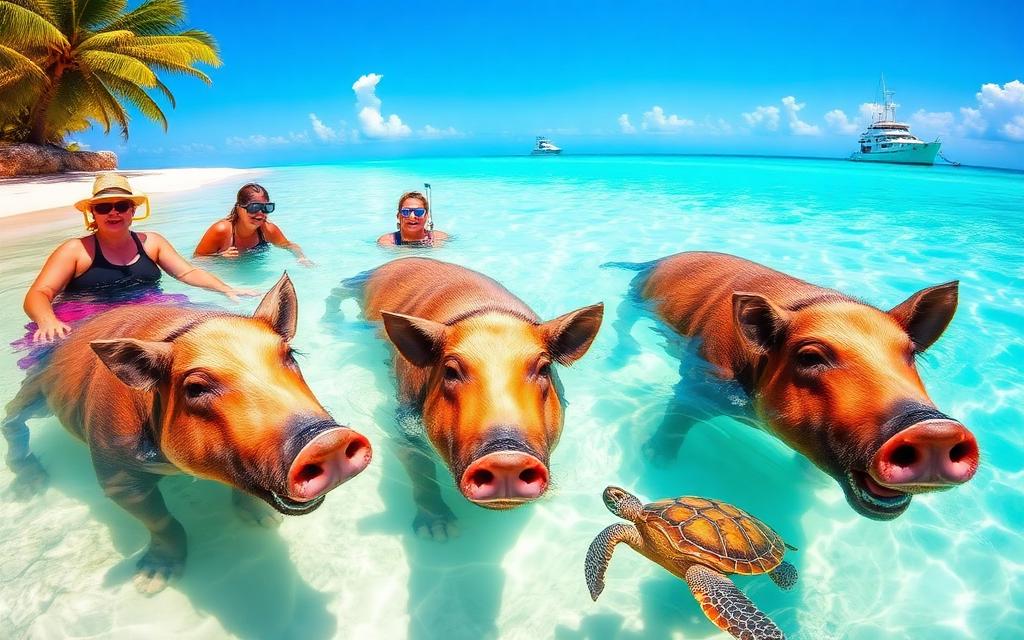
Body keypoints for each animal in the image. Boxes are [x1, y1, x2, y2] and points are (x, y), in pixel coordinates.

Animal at [1, 275, 372, 592]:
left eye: (290, 355)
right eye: (195, 388)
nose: (327, 441)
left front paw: (265, 522)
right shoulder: (114, 474)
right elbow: (161, 521)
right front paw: (150, 583)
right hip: (36, 386)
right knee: (12, 419)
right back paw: (30, 489)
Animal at [327, 257, 603, 539]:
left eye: (544, 368)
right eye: (450, 371)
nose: (506, 459)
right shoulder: (404, 424)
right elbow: (419, 466)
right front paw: (440, 533)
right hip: (358, 282)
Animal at [608, 251, 979, 520]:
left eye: (910, 353)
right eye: (810, 357)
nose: (934, 430)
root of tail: (655, 260)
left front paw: (807, 479)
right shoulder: (697, 383)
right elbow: (677, 419)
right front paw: (656, 461)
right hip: (634, 296)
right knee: (621, 321)